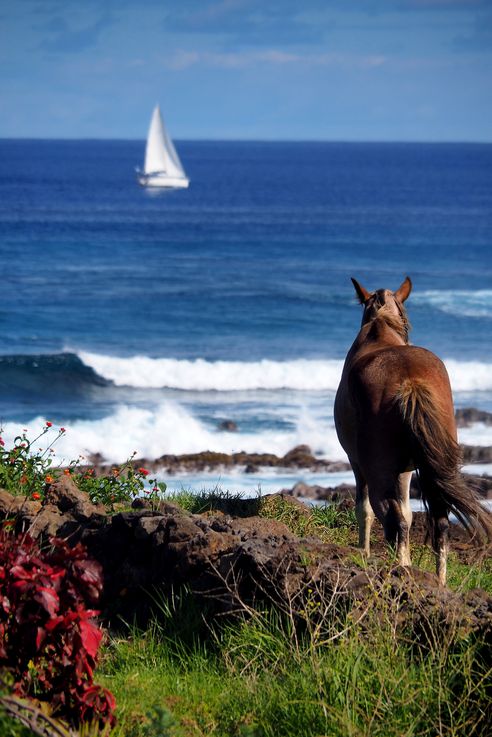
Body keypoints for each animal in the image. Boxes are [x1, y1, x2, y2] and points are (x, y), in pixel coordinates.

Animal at [332, 276, 490, 588]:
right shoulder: (405, 470)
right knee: (439, 522)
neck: (379, 331)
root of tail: (411, 381)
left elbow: (364, 509)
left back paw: (402, 569)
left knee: (392, 518)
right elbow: (408, 510)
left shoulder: (358, 463)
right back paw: (439, 583)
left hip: (378, 469)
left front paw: (364, 552)